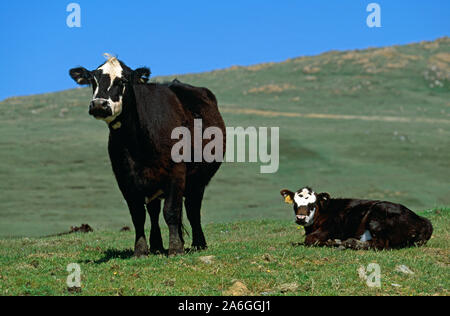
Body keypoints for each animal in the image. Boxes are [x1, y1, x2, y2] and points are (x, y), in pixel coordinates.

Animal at [70, 54, 225, 256]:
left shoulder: (176, 172)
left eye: (123, 80)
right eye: (92, 80)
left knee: (192, 208)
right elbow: (138, 215)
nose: (98, 104)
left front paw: (175, 248)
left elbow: (171, 211)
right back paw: (157, 245)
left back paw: (198, 243)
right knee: (154, 211)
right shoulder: (125, 178)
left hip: (198, 180)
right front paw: (141, 250)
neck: (136, 143)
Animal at [282, 188, 432, 249]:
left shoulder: (332, 227)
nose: (301, 218)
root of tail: (422, 220)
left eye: (312, 204)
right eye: (295, 204)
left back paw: (348, 243)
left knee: (380, 244)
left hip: (376, 219)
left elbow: (310, 239)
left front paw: (332, 241)